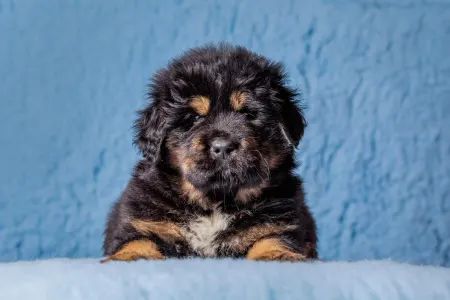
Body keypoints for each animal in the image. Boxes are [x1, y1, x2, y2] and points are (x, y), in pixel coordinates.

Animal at [101, 42, 316, 262]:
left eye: (249, 114)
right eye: (194, 118)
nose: (223, 146)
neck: (214, 203)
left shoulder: (278, 220)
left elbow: (272, 238)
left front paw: (276, 255)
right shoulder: (143, 218)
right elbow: (138, 240)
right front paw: (131, 256)